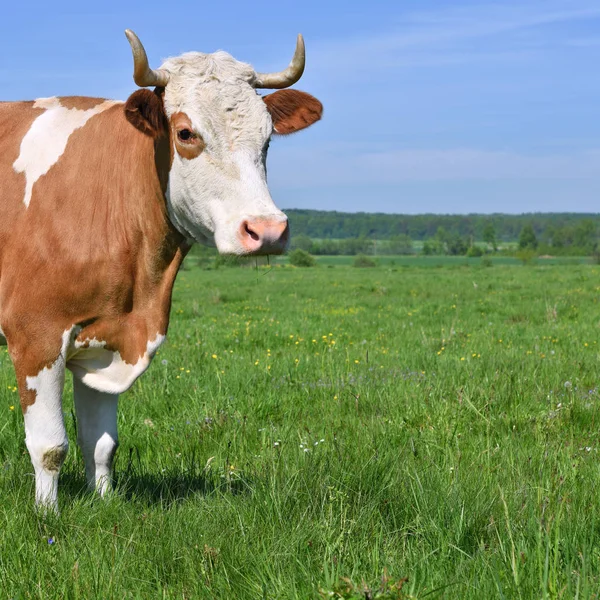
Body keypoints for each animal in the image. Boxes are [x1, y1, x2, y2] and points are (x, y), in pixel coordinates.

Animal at [1, 30, 324, 510]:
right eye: (186, 133)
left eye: (267, 138)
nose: (267, 230)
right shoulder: (35, 331)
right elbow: (50, 445)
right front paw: (47, 515)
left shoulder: (107, 337)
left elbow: (101, 443)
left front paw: (104, 503)